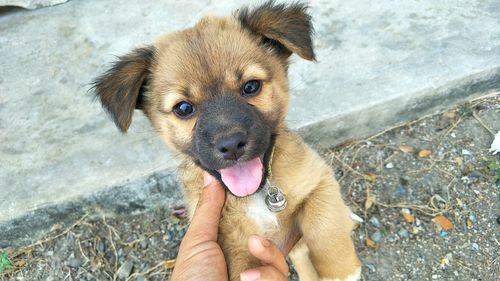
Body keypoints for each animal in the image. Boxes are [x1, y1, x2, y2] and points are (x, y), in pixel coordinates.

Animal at [93, 1, 360, 278]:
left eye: (251, 86)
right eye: (183, 108)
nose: (231, 145)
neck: (258, 194)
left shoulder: (318, 179)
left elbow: (324, 224)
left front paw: (342, 271)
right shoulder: (231, 245)